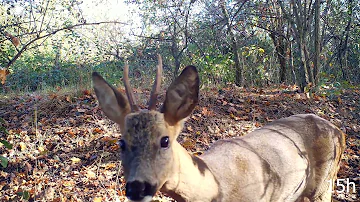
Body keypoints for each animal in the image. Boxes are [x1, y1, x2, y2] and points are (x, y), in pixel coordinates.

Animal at [92, 54, 346, 202]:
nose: (137, 188)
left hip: (324, 185)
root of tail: (338, 130)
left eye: (165, 140)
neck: (217, 186)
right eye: (121, 142)